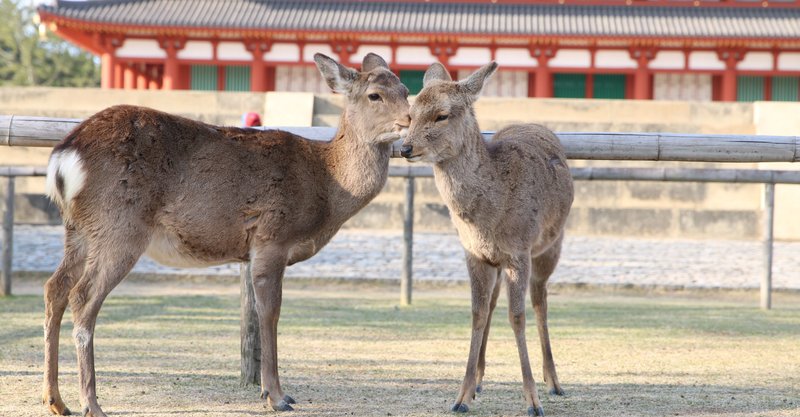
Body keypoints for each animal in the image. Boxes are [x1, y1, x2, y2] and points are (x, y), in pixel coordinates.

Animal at [40, 52, 410, 416]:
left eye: (406, 90)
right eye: (374, 95)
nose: (410, 121)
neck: (327, 186)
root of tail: (64, 156)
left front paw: (271, 391)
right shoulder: (273, 237)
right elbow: (270, 313)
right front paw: (277, 396)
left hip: (79, 229)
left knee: (55, 288)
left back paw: (56, 400)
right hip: (120, 226)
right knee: (82, 296)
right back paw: (91, 404)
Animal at [400, 62, 576, 416]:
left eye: (441, 115)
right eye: (410, 113)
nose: (405, 148)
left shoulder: (519, 251)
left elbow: (518, 316)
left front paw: (532, 401)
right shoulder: (475, 254)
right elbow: (477, 313)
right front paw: (461, 396)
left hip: (551, 246)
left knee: (540, 301)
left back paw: (554, 382)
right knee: (493, 305)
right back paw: (481, 380)